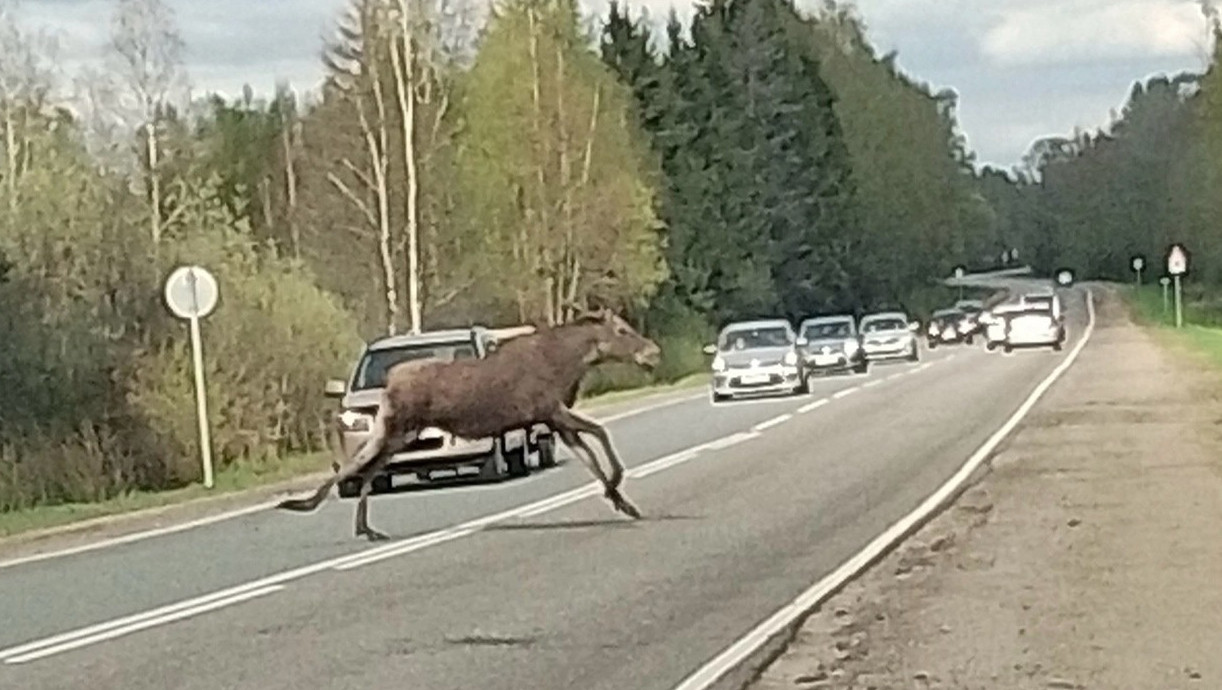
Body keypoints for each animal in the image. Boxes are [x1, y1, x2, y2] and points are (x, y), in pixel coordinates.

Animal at [276, 305, 664, 537]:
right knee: (361, 469)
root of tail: (387, 387)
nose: (654, 352)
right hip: (399, 429)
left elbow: (592, 456)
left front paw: (620, 499)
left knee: (364, 469)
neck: (569, 364)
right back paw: (347, 521)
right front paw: (617, 488)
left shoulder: (554, 419)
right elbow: (601, 434)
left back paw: (358, 525)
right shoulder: (551, 410)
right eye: (622, 330)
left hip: (400, 432)